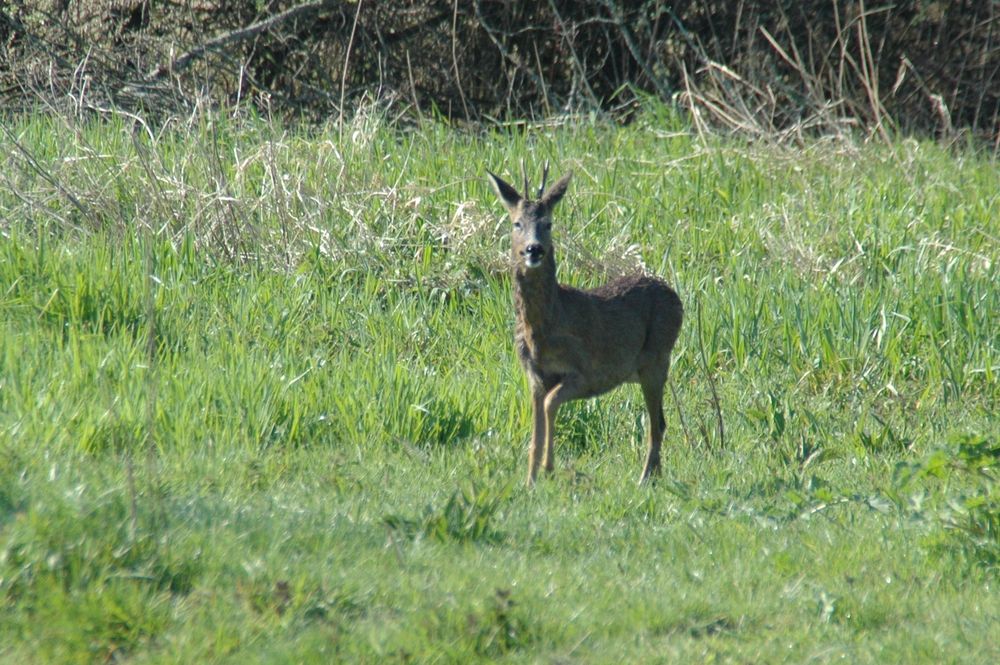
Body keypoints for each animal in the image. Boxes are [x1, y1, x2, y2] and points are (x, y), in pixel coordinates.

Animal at [488, 163, 684, 486]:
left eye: (548, 223)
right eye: (517, 223)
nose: (534, 249)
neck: (543, 328)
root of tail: (676, 297)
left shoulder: (587, 372)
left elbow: (550, 405)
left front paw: (548, 468)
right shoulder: (534, 376)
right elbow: (535, 432)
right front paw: (530, 480)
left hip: (657, 357)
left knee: (656, 424)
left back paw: (643, 479)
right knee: (661, 421)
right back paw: (654, 476)